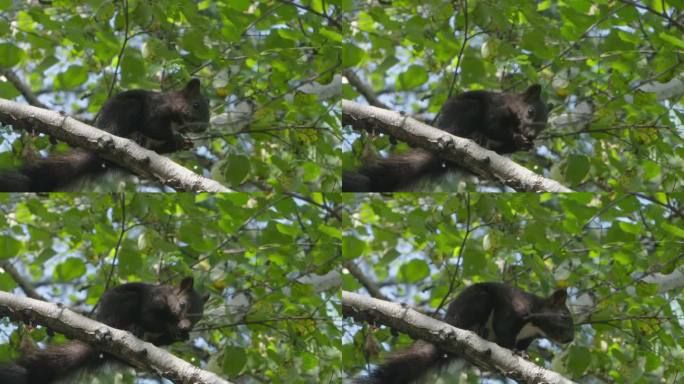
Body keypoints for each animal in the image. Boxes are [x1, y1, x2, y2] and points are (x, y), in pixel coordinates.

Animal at [0, 78, 210, 192]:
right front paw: (176, 137)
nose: (204, 127)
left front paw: (183, 143)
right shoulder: (156, 109)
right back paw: (136, 137)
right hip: (125, 111)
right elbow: (154, 126)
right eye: (196, 105)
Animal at [0, 276, 210, 384]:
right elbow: (150, 318)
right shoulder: (153, 301)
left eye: (198, 318)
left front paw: (182, 334)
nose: (185, 326)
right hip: (123, 305)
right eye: (182, 305)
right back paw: (133, 329)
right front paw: (171, 327)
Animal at [342, 85, 552, 191]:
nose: (531, 135)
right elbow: (494, 126)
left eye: (544, 126)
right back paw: (475, 137)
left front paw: (526, 144)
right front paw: (517, 138)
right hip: (466, 111)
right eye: (530, 112)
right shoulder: (497, 108)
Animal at [356, 282, 576, 384]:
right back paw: (476, 330)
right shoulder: (513, 311)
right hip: (477, 301)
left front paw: (524, 355)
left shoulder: (527, 337)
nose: (570, 338)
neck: (534, 326)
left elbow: (520, 344)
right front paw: (513, 351)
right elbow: (504, 332)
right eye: (565, 316)